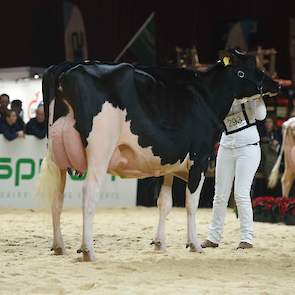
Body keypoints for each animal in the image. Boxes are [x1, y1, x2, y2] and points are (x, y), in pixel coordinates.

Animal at [37, 49, 280, 262]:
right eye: (247, 69)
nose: (276, 84)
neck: (205, 95)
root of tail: (65, 67)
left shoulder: (168, 164)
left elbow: (165, 202)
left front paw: (159, 243)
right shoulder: (200, 159)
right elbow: (191, 204)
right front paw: (195, 244)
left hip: (56, 155)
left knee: (56, 197)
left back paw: (59, 246)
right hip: (99, 150)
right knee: (89, 193)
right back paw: (88, 250)